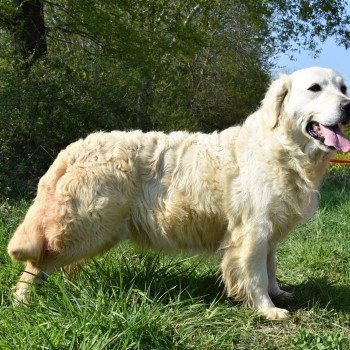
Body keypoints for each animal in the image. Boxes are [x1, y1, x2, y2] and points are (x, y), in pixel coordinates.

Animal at [7, 66, 350, 320]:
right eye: (315, 88)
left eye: (343, 87)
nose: (348, 105)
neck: (283, 148)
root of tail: (73, 148)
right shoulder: (253, 230)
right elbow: (256, 274)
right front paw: (268, 308)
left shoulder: (270, 232)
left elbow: (271, 266)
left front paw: (279, 294)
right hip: (86, 226)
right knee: (37, 264)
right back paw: (22, 304)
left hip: (98, 232)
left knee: (65, 266)